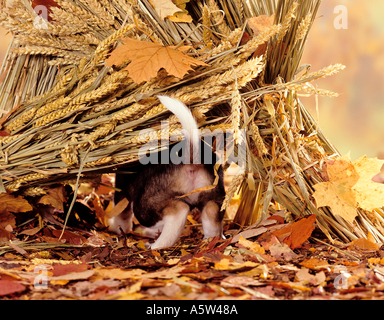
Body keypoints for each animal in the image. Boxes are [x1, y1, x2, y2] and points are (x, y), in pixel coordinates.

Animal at [108, 96, 225, 249]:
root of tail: (190, 155)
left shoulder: (122, 186)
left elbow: (121, 213)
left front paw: (117, 228)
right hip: (212, 198)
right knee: (212, 217)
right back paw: (210, 240)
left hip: (145, 205)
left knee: (178, 212)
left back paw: (154, 246)